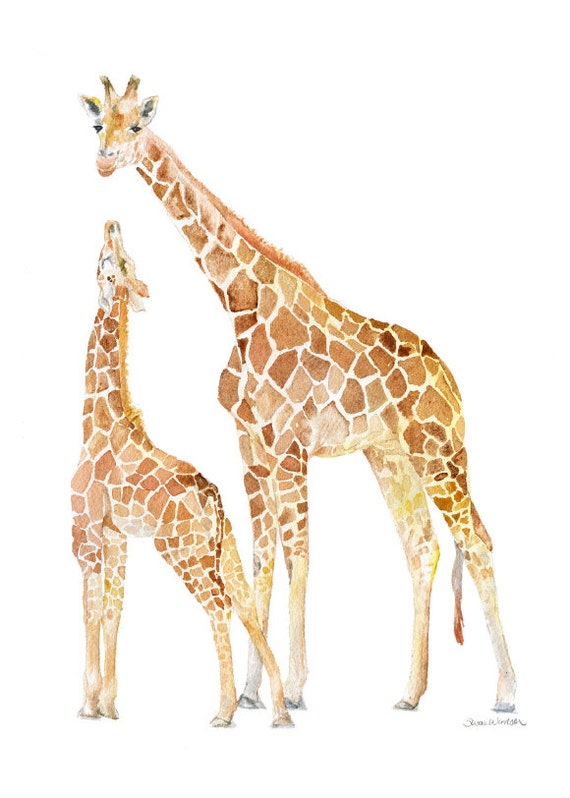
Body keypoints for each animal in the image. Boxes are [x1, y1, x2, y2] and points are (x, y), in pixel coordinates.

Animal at [71, 219, 293, 728]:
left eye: (116, 263)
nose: (111, 224)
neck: (96, 423)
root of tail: (214, 498)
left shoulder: (86, 532)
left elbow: (91, 611)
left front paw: (88, 705)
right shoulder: (115, 536)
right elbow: (112, 612)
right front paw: (110, 705)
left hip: (181, 550)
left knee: (220, 608)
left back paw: (225, 711)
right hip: (223, 546)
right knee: (247, 605)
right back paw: (278, 710)